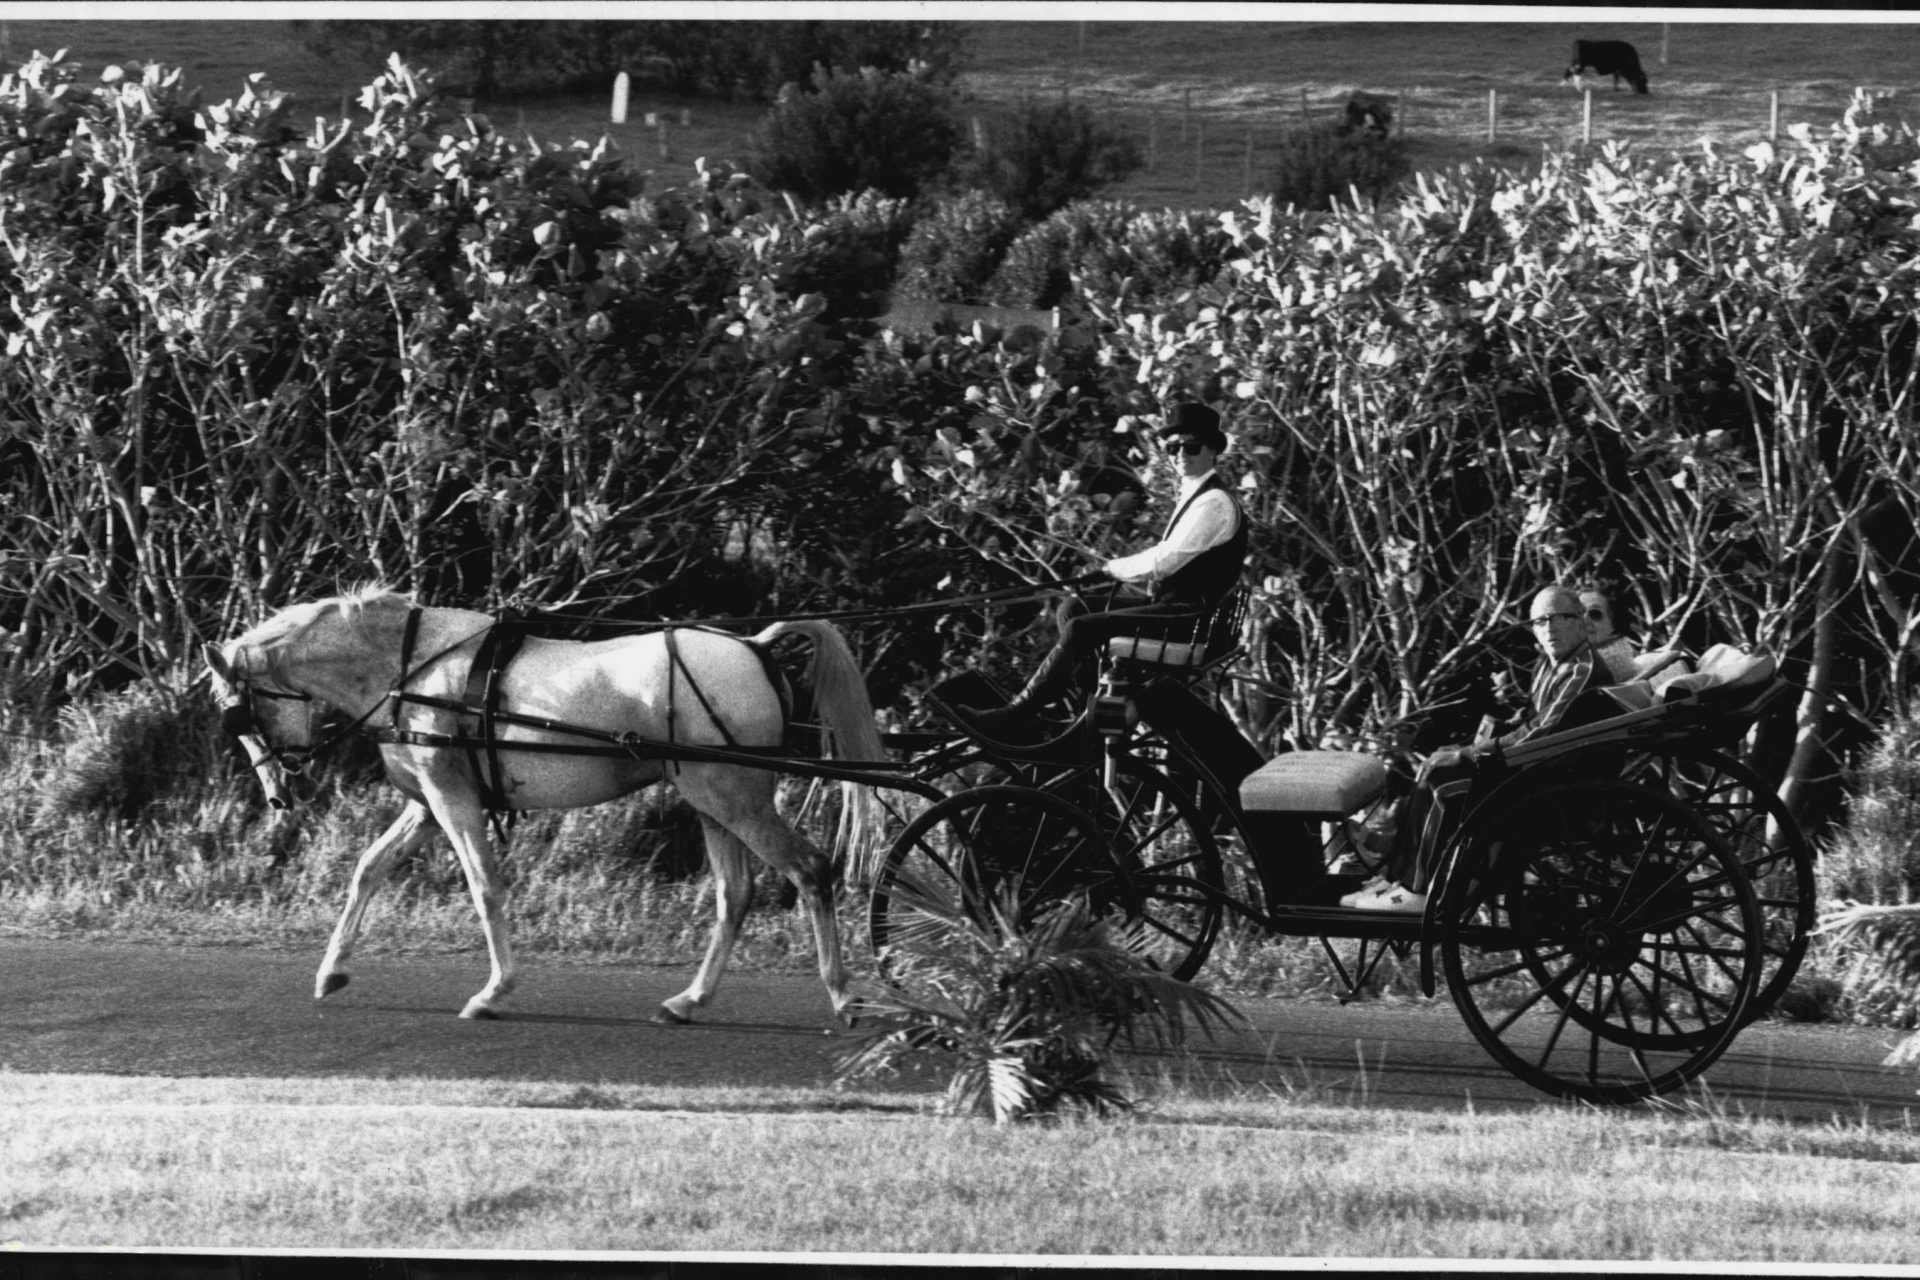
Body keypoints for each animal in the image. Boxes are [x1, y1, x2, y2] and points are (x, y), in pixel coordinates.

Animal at [204, 587, 883, 1020]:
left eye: (239, 712)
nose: (277, 792)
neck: (409, 671)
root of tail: (755, 646)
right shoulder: (428, 802)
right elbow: (369, 868)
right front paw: (332, 970)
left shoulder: (452, 799)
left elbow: (484, 886)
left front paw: (494, 991)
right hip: (710, 800)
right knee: (734, 894)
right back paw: (689, 1001)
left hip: (735, 798)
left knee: (810, 870)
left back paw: (843, 996)